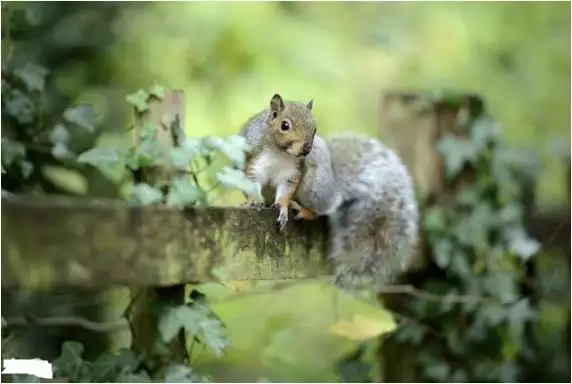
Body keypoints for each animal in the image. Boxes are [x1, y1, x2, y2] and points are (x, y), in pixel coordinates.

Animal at [239, 94, 418, 292]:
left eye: (314, 129)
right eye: (284, 125)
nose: (307, 148)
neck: (280, 152)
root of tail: (334, 185)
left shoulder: (293, 173)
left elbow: (286, 192)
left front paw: (283, 208)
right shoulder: (254, 161)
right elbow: (251, 182)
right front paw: (253, 202)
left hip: (313, 188)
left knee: (325, 207)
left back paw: (303, 210)